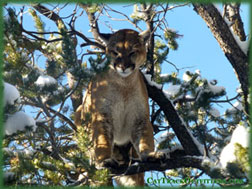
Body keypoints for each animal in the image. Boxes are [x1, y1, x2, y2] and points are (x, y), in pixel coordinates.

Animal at [75, 29, 163, 186]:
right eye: (116, 52)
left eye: (132, 52)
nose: (123, 67)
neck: (124, 84)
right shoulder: (102, 116)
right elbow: (102, 139)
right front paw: (105, 160)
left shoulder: (140, 117)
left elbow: (145, 138)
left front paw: (150, 154)